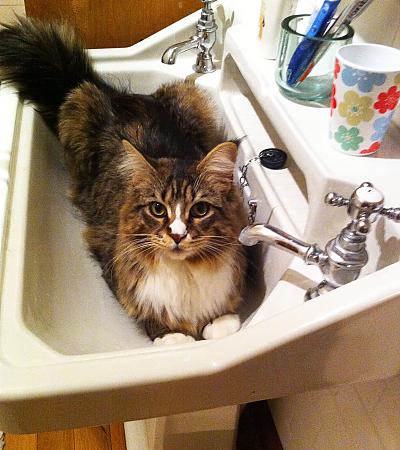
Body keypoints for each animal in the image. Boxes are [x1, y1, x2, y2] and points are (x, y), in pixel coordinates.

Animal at [0, 15, 247, 342]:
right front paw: (172, 336)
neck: (185, 272)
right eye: (158, 209)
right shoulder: (111, 262)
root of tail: (116, 95)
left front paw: (220, 322)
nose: (177, 235)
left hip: (191, 96)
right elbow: (150, 315)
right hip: (77, 108)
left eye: (200, 210)